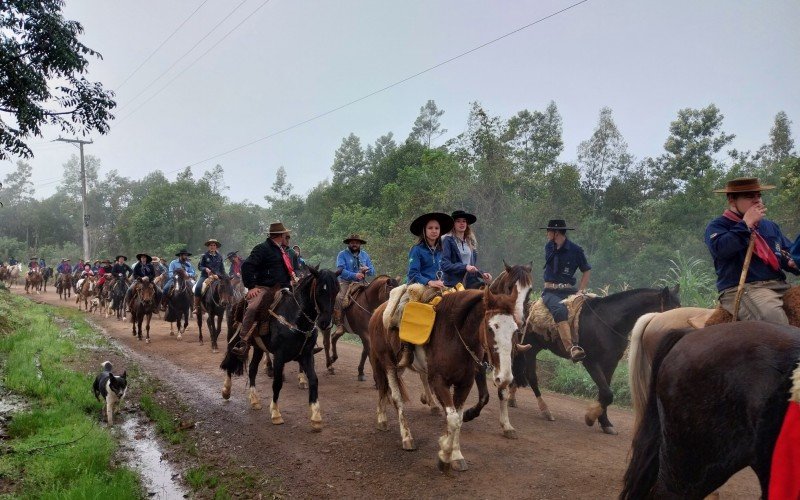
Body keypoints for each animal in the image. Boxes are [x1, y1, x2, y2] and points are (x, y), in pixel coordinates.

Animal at [220, 268, 340, 432]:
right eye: (320, 290)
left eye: (336, 291)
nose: (325, 323)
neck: (295, 318)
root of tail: (237, 302)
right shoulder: (279, 356)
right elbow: (277, 383)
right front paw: (276, 413)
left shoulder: (307, 354)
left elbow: (314, 380)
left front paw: (316, 416)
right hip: (233, 339)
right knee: (229, 361)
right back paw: (226, 390)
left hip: (258, 348)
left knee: (252, 370)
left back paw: (254, 400)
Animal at [368, 286, 524, 472]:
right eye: (491, 328)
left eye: (516, 330)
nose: (505, 378)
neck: (453, 336)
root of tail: (378, 312)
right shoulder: (439, 382)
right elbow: (453, 419)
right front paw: (444, 454)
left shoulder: (465, 383)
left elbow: (458, 419)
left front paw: (455, 454)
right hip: (386, 363)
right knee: (394, 397)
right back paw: (403, 435)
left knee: (387, 389)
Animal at [512, 286, 680, 434]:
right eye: (672, 310)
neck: (610, 321)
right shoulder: (591, 361)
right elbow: (607, 393)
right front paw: (590, 417)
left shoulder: (611, 363)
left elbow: (604, 392)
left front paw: (605, 423)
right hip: (530, 349)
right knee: (531, 377)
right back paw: (545, 410)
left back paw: (512, 399)